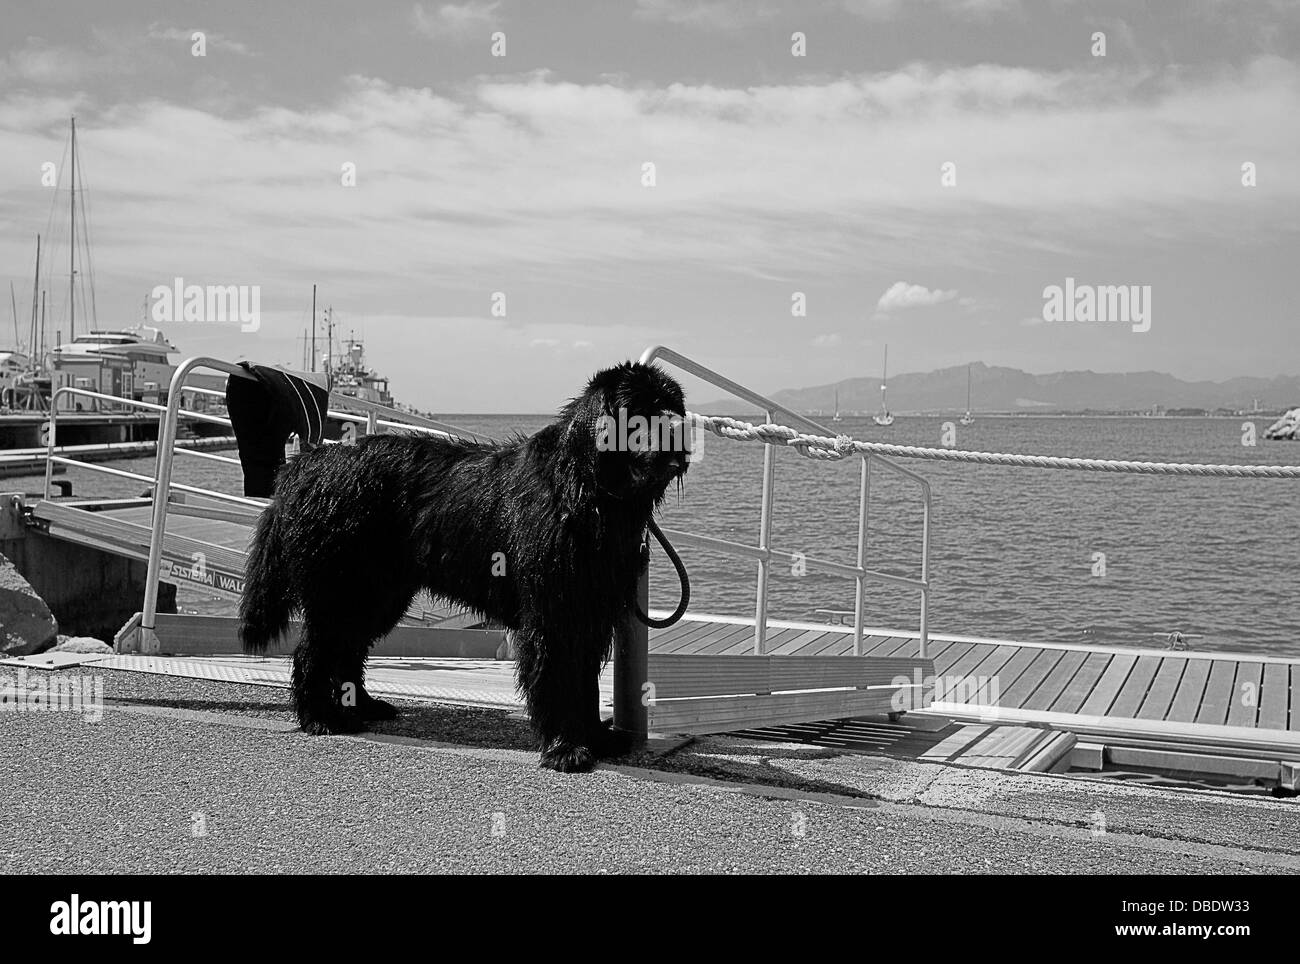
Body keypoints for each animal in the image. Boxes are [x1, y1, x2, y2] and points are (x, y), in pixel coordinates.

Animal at [243, 358, 691, 774]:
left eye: (673, 406)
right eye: (639, 409)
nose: (682, 432)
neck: (585, 490)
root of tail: (306, 465)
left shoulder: (592, 612)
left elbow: (585, 684)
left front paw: (597, 738)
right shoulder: (552, 612)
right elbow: (558, 680)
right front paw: (566, 749)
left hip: (379, 593)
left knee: (348, 649)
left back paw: (365, 707)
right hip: (340, 587)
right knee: (314, 653)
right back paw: (321, 718)